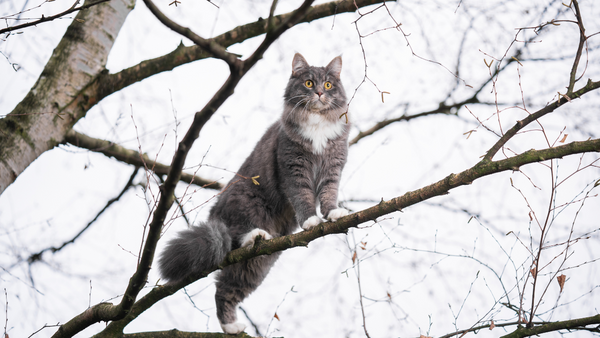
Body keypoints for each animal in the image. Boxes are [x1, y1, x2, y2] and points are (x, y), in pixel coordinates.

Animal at [159, 53, 350, 336]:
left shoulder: (332, 167)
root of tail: (215, 217)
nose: (318, 93)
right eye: (308, 83)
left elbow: (328, 194)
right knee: (237, 238)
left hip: (256, 266)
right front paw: (311, 220)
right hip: (248, 204)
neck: (316, 125)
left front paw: (333, 213)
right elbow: (303, 198)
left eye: (328, 85)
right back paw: (255, 236)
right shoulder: (293, 168)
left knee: (224, 289)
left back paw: (231, 326)